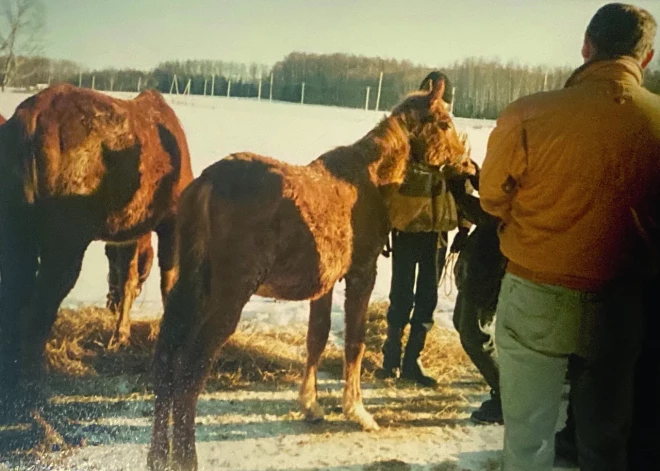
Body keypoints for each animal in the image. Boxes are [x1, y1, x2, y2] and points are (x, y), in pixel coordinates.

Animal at [0, 83, 196, 414]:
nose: (109, 302)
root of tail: (29, 121)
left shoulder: (127, 234)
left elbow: (128, 279)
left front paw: (120, 336)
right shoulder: (169, 221)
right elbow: (168, 281)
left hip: (18, 237)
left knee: (17, 302)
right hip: (65, 244)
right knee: (39, 310)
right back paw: (36, 386)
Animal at [147, 79, 472, 470]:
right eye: (445, 123)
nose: (468, 165)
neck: (371, 181)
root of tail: (207, 183)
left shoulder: (325, 284)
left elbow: (316, 337)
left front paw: (311, 405)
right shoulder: (362, 273)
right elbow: (355, 341)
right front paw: (358, 411)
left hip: (190, 286)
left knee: (165, 362)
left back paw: (158, 456)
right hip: (229, 295)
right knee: (189, 370)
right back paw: (186, 457)